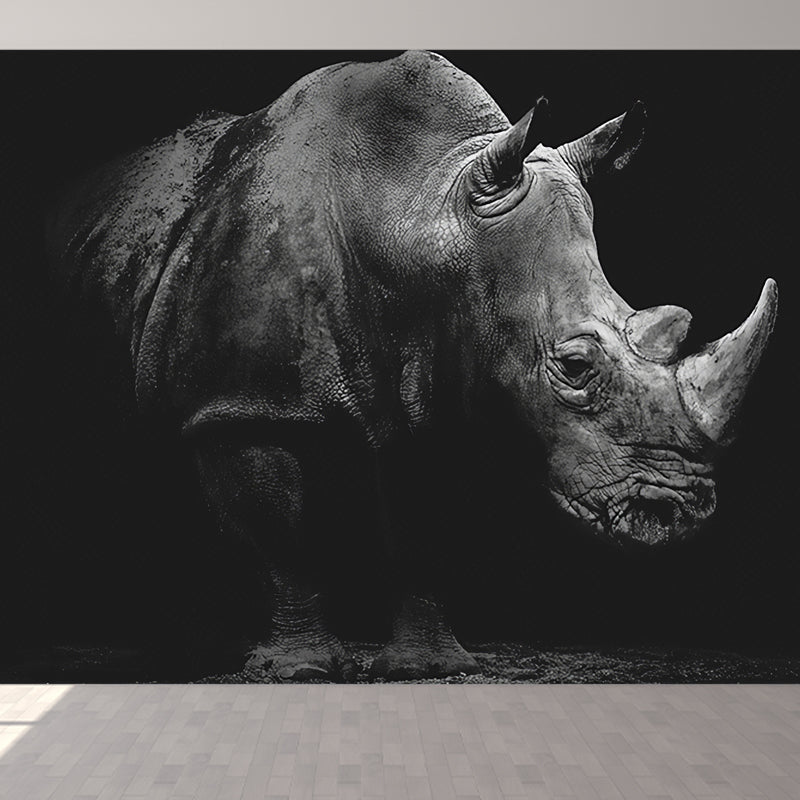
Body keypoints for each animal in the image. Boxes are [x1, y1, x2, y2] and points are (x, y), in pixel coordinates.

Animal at [48, 51, 777, 681]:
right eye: (575, 367)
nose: (678, 517)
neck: (418, 214)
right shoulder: (241, 405)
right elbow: (279, 535)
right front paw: (301, 671)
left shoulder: (443, 389)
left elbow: (426, 529)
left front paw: (431, 668)